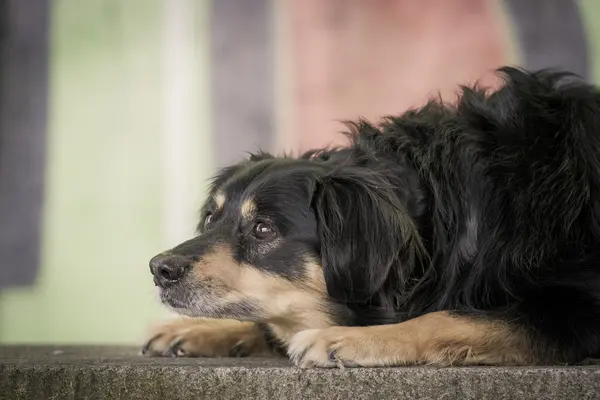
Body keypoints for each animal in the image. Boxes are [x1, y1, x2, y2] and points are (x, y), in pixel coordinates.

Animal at [143, 67, 600, 368]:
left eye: (262, 229)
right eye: (211, 219)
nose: (159, 268)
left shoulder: (576, 306)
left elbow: (447, 315)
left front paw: (346, 338)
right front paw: (199, 331)